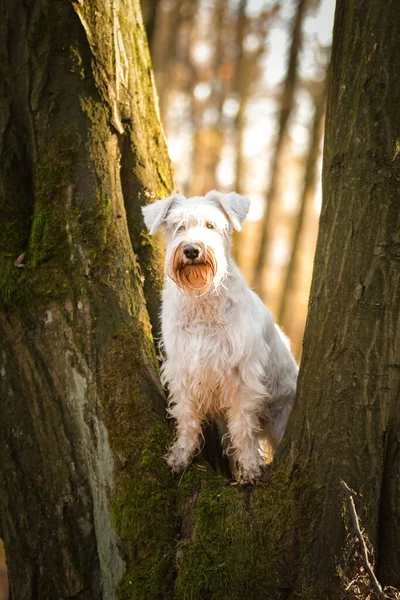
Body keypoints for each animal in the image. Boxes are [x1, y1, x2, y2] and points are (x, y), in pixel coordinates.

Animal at [142, 192, 298, 482]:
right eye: (178, 226)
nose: (191, 250)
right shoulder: (183, 371)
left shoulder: (242, 375)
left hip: (281, 418)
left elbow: (243, 427)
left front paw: (250, 467)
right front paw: (180, 455)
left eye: (210, 225)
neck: (202, 299)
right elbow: (187, 417)